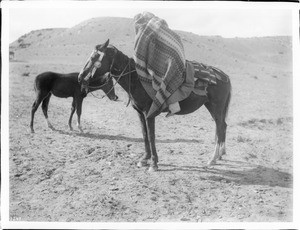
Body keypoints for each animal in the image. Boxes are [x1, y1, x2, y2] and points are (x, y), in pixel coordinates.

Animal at [78, 40, 232, 172]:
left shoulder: (149, 113)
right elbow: (144, 134)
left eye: (94, 57)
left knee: (220, 126)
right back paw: (219, 155)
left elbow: (151, 136)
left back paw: (212, 159)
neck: (138, 80)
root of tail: (224, 76)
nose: (80, 77)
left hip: (216, 106)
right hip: (212, 107)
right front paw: (144, 159)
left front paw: (153, 163)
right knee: (222, 126)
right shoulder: (140, 113)